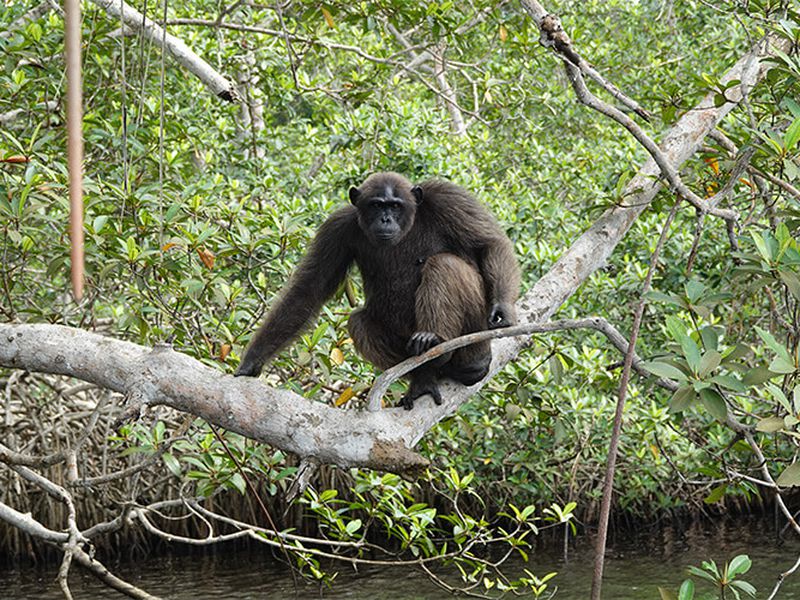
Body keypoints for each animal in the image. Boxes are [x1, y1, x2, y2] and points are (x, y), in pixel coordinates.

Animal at [234, 171, 520, 410]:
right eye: (376, 205)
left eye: (394, 205)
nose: (385, 219)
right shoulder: (336, 229)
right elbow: (309, 288)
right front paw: (252, 362)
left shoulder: (450, 198)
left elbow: (488, 243)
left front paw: (502, 310)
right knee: (359, 321)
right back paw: (425, 375)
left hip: (475, 339)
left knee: (445, 265)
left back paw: (442, 346)